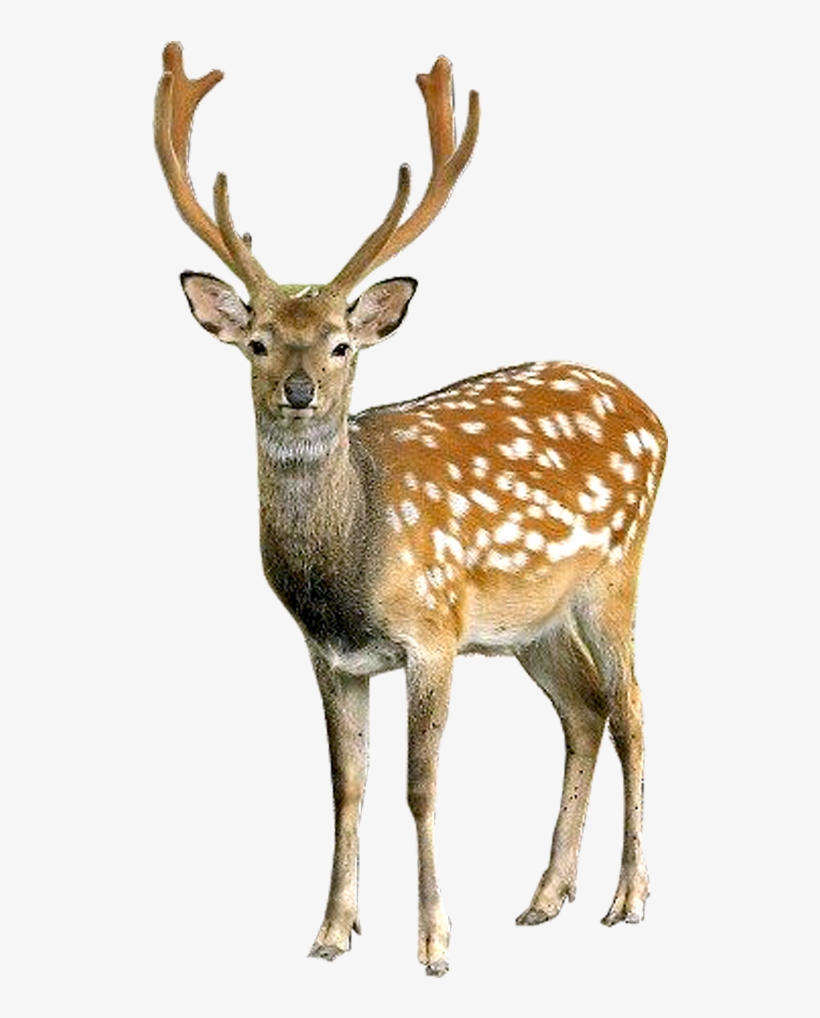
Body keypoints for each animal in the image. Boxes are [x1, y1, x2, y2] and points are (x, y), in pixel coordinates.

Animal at [154, 42, 667, 977]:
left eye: (341, 344)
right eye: (258, 342)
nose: (297, 391)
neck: (350, 563)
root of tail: (656, 416)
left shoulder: (433, 631)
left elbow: (419, 785)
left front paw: (433, 942)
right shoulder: (332, 655)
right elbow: (346, 785)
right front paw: (330, 931)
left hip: (616, 571)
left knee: (636, 711)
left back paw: (628, 899)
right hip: (530, 623)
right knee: (585, 710)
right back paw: (545, 896)